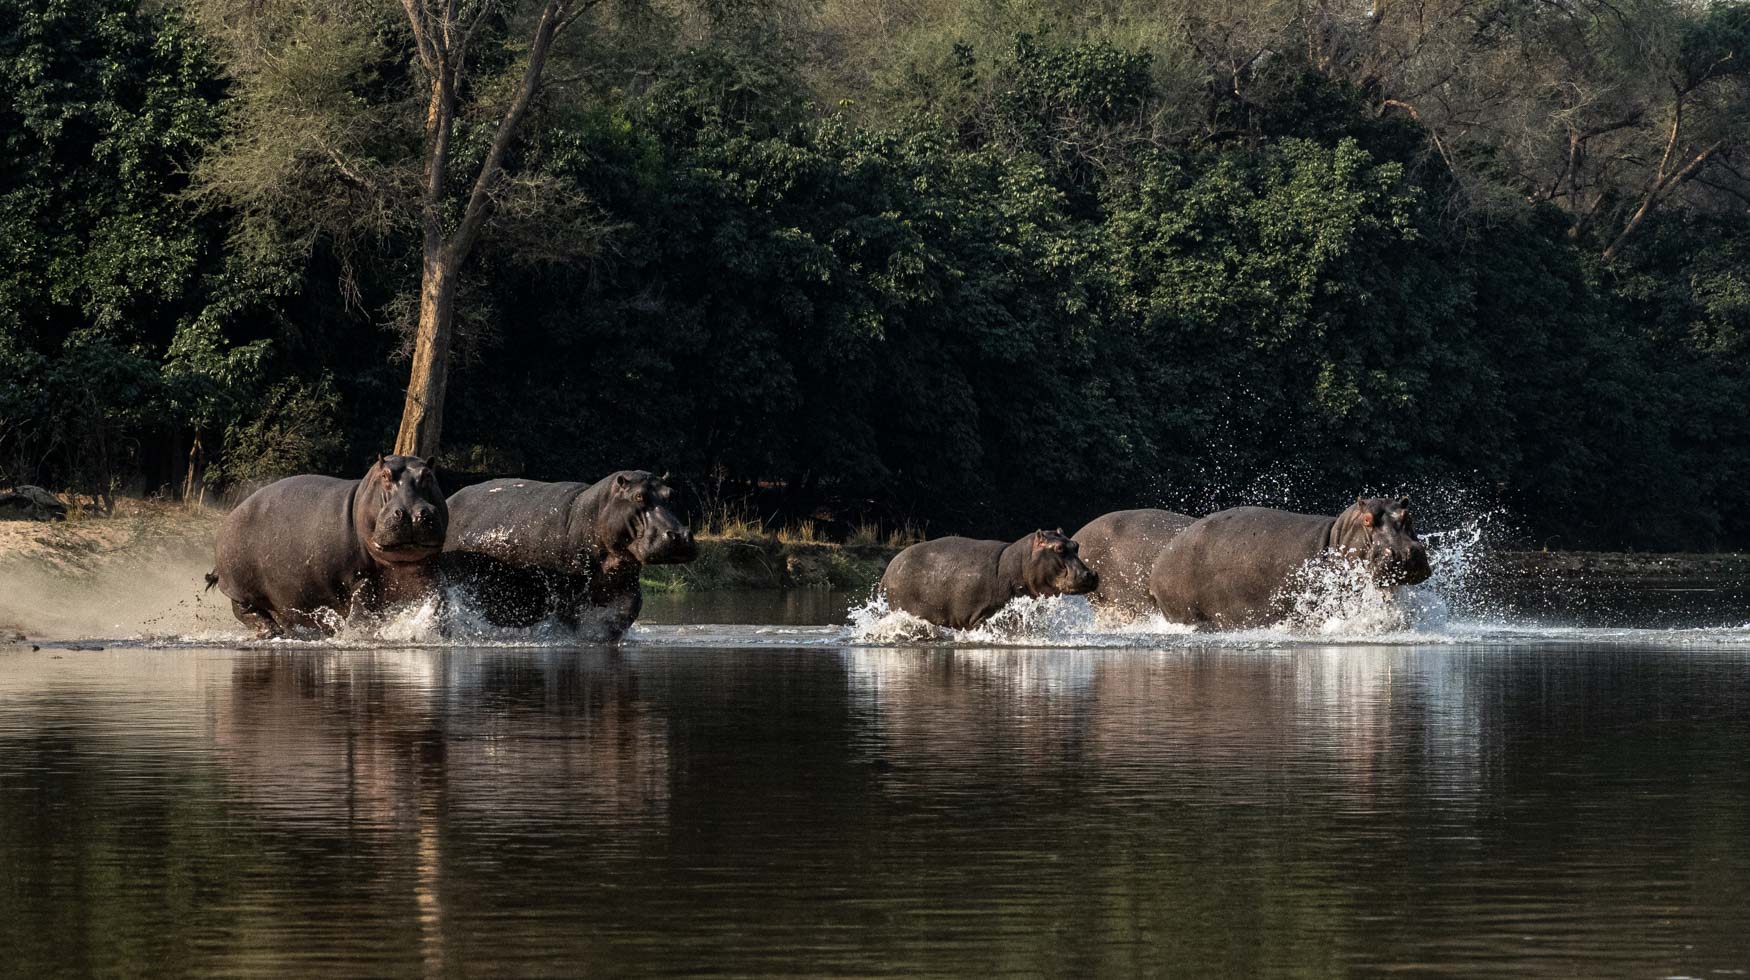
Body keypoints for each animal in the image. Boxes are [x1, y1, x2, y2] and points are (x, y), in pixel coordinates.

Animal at [206, 455, 451, 640]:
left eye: (428, 476)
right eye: (384, 476)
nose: (412, 512)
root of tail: (231, 514)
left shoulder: (430, 576)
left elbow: (436, 607)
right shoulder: (359, 578)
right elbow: (362, 614)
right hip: (239, 589)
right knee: (247, 613)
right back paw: (271, 633)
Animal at [441, 472, 700, 640]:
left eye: (671, 494)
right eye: (638, 497)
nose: (679, 535)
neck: (597, 512)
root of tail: (449, 499)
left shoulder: (625, 583)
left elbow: (628, 610)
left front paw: (603, 633)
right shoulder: (567, 593)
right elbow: (571, 620)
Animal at [882, 528, 1099, 626]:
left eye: (1076, 545)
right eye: (1059, 548)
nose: (1090, 574)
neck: (1021, 561)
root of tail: (888, 569)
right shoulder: (983, 615)